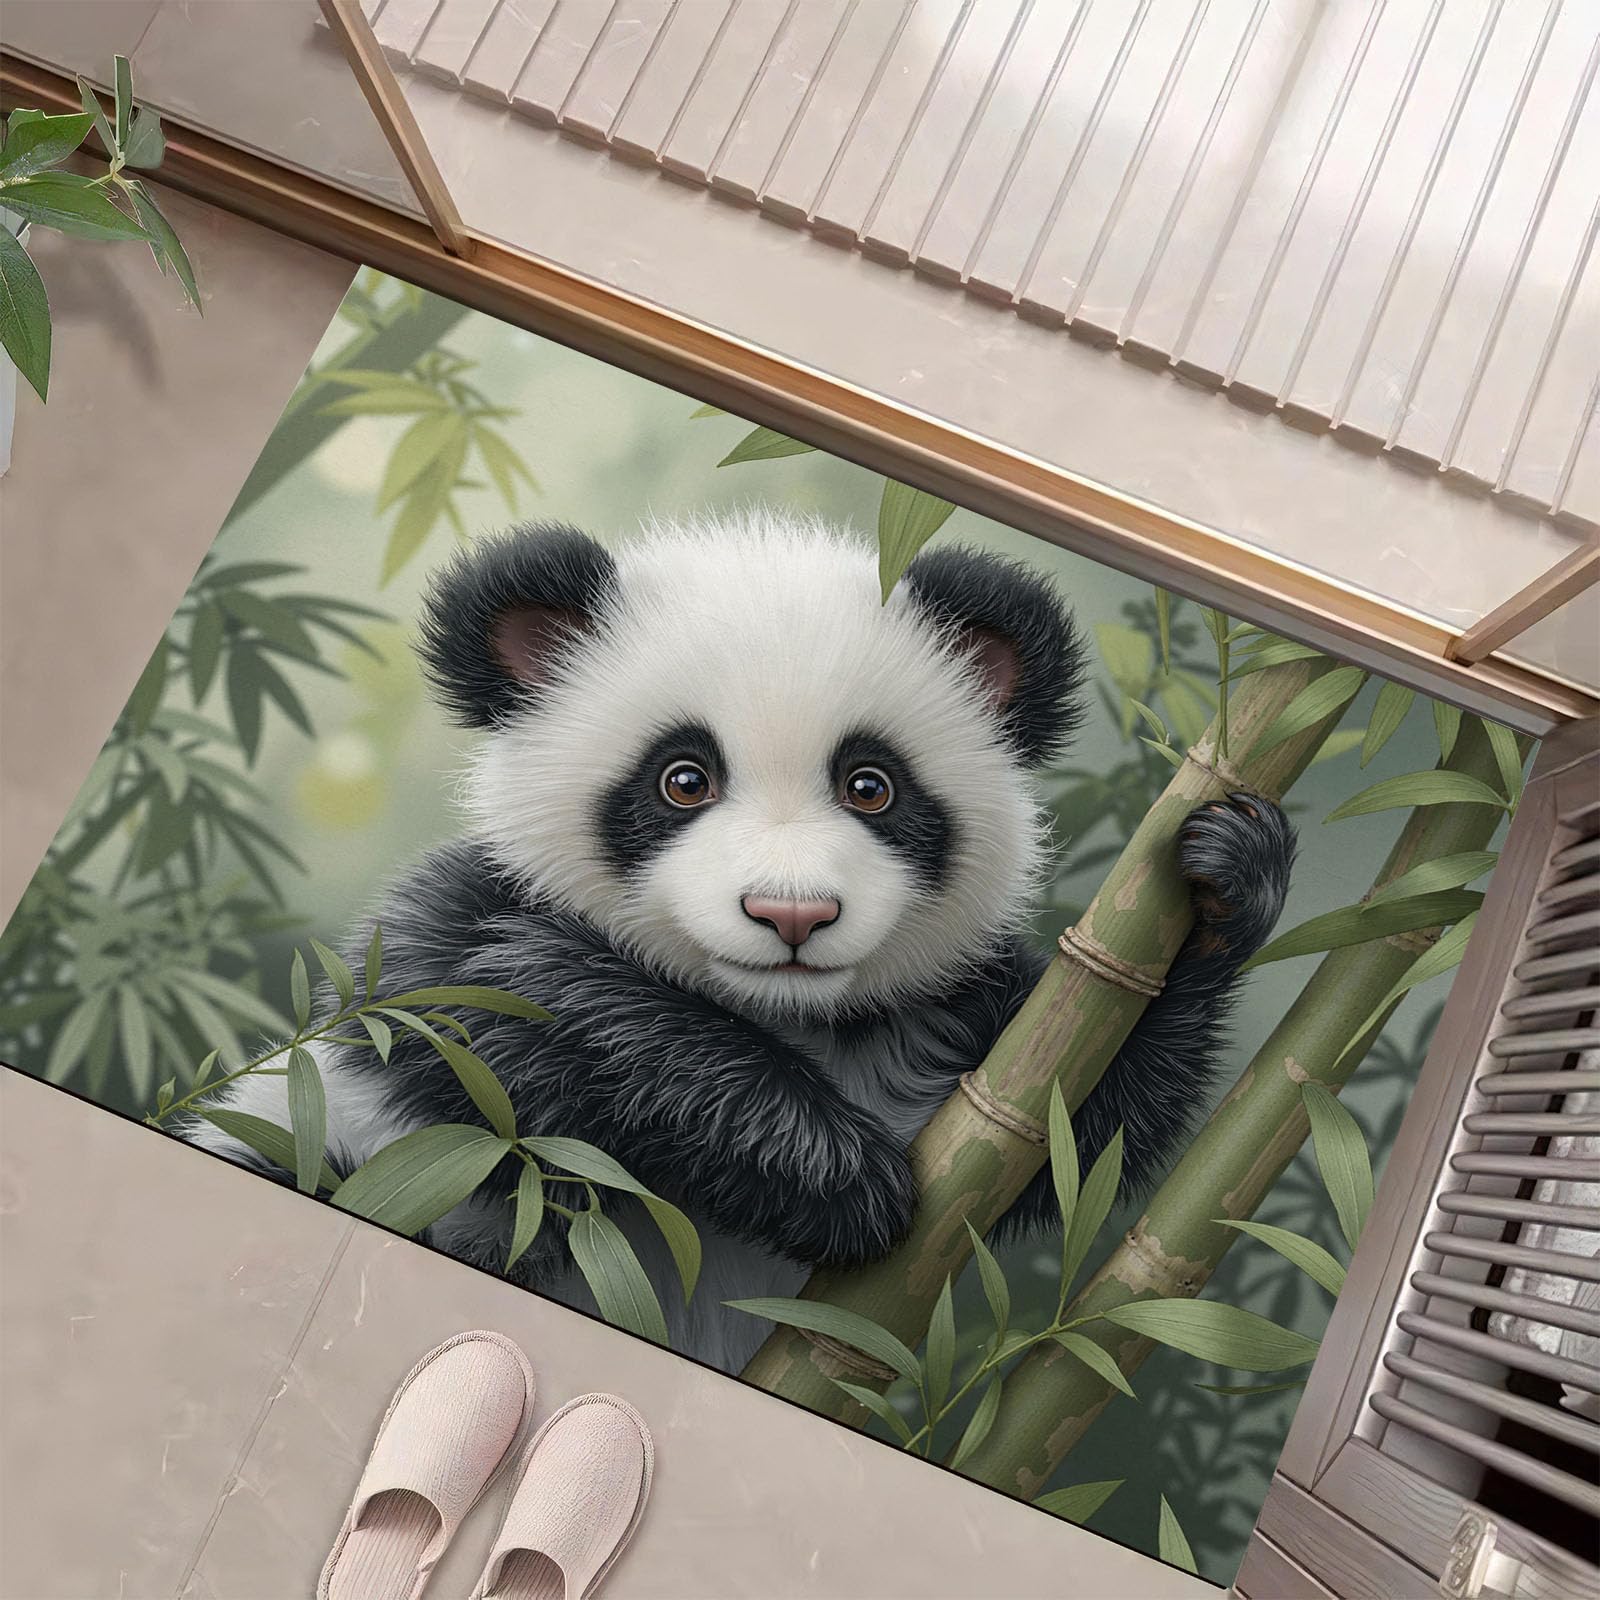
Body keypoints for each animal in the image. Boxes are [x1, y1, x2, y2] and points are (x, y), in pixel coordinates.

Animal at [189, 511, 1295, 1373]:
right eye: (683, 778)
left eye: (870, 785)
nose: (791, 915)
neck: (787, 1016)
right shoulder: (450, 945)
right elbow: (514, 1002)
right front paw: (840, 1176)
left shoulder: (960, 1024)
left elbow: (1081, 1124)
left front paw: (1226, 875)